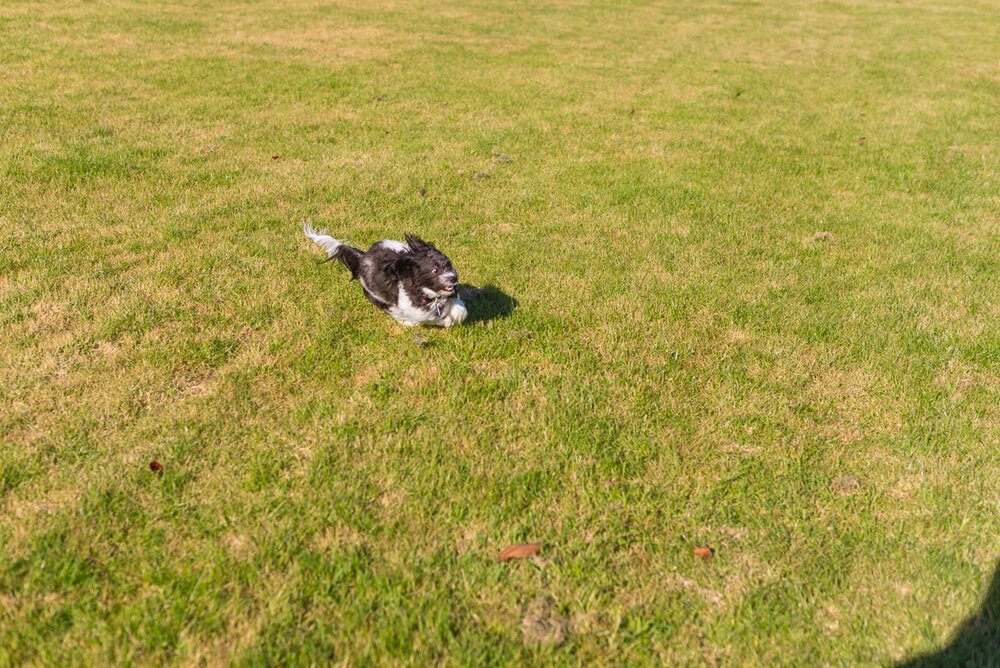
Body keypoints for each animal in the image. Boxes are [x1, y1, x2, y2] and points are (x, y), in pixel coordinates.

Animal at [302, 224, 466, 328]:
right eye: (434, 271)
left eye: (449, 265)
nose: (453, 278)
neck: (431, 296)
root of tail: (363, 257)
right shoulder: (412, 310)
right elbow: (426, 319)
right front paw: (443, 321)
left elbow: (460, 311)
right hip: (375, 296)